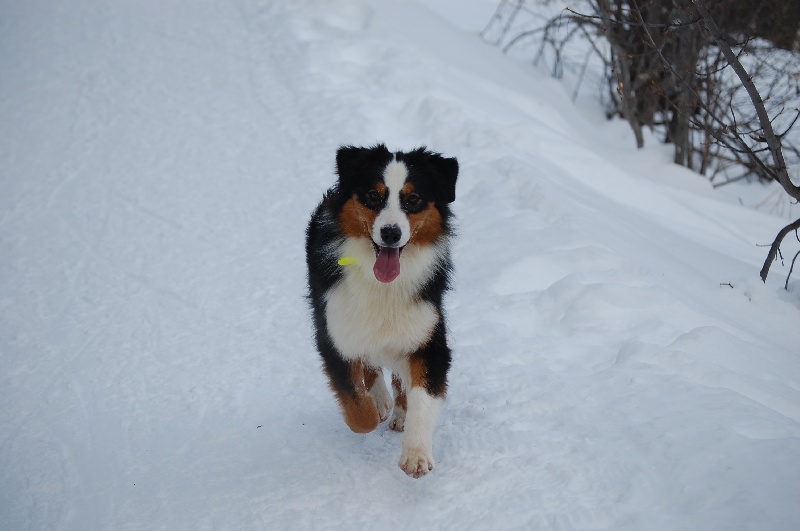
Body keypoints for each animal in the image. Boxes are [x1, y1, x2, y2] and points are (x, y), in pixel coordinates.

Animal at [304, 142, 456, 478]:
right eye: (373, 196)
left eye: (413, 200)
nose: (390, 233)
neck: (382, 285)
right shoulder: (333, 331)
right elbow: (360, 412)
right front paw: (375, 407)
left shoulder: (429, 335)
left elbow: (422, 396)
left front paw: (416, 455)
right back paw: (382, 400)